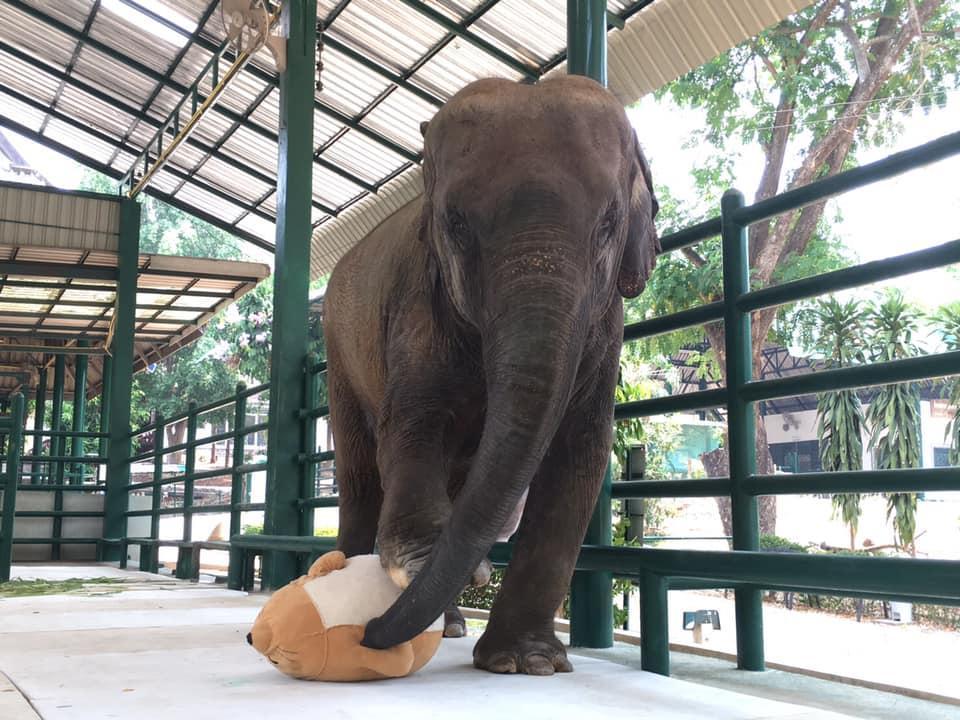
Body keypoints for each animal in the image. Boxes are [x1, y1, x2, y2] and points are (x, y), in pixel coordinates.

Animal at [322, 74, 659, 675]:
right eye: (455, 225)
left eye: (609, 224)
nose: (367, 633)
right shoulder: (418, 299)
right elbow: (414, 426)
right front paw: (420, 560)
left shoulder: (606, 331)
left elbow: (580, 453)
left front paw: (528, 663)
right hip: (339, 349)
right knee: (360, 473)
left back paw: (451, 625)